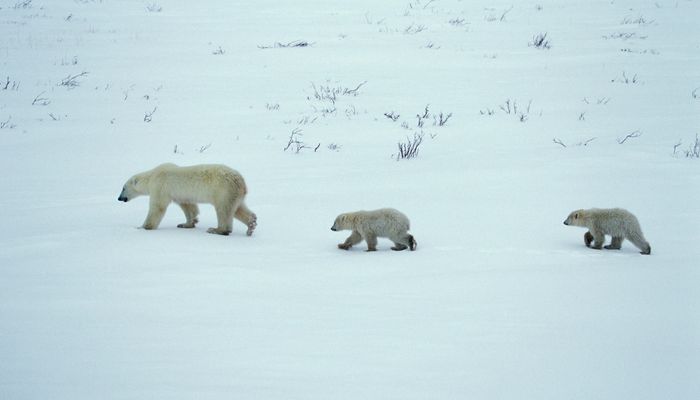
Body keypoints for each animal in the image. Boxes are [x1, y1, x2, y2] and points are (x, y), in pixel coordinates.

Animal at [117, 162, 258, 236]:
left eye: (123, 188)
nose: (119, 198)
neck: (151, 176)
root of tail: (241, 181)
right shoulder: (181, 195)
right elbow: (189, 207)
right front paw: (186, 224)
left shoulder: (160, 186)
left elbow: (157, 207)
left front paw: (143, 227)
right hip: (234, 193)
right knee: (237, 208)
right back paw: (251, 224)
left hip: (223, 190)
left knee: (223, 209)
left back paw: (217, 229)